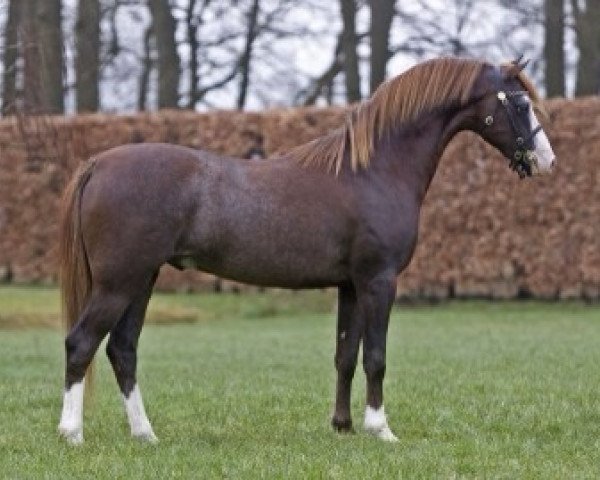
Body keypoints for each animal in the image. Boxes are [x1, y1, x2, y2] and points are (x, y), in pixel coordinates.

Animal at [58, 58, 556, 444]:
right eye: (519, 103)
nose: (546, 160)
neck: (373, 170)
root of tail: (98, 164)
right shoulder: (379, 281)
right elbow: (376, 356)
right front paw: (381, 429)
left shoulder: (351, 286)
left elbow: (346, 355)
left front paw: (343, 426)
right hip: (119, 282)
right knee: (82, 343)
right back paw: (72, 434)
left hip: (142, 280)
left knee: (122, 349)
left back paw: (145, 434)